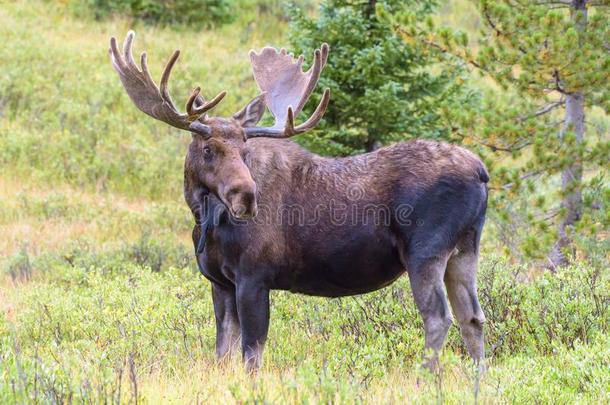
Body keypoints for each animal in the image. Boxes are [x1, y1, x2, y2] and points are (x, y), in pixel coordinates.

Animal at [110, 31, 490, 370]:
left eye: (245, 149)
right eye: (208, 148)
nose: (246, 195)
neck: (204, 222)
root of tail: (481, 172)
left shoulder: (254, 277)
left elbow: (251, 355)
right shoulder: (220, 283)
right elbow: (222, 353)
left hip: (426, 251)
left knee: (438, 317)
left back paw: (424, 379)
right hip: (464, 249)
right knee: (473, 317)